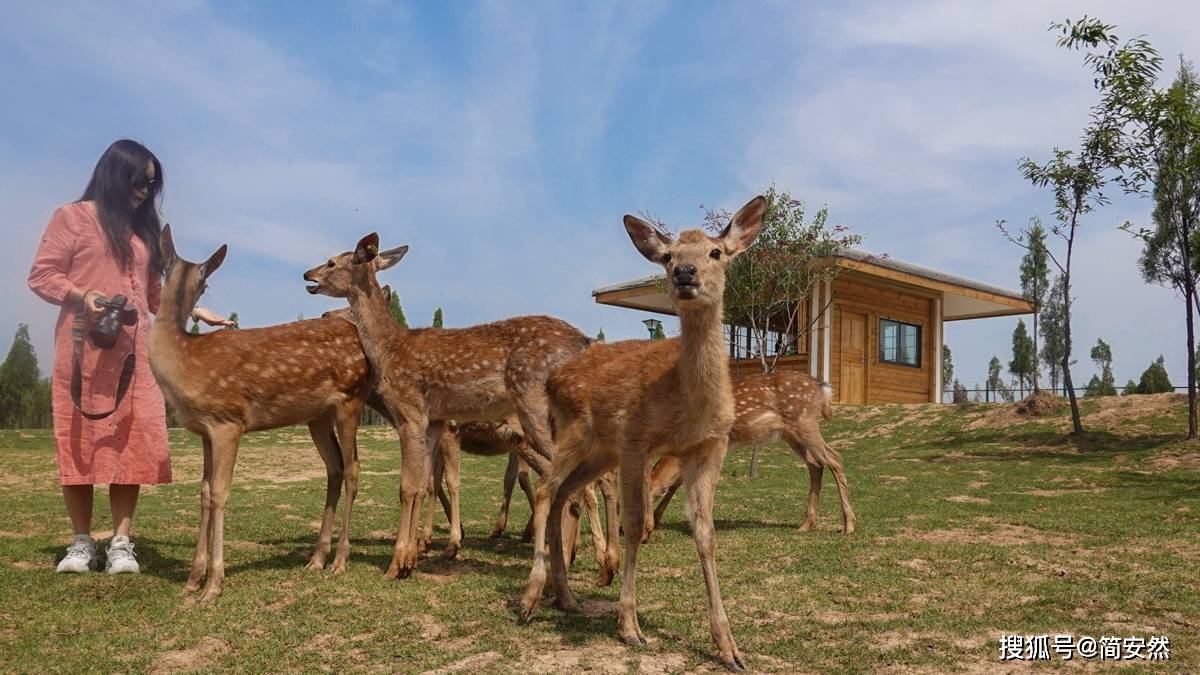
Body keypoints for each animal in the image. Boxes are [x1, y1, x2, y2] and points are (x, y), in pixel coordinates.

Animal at [147, 225, 403, 598]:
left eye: (205, 285)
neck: (184, 359)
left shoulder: (228, 421)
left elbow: (221, 493)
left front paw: (213, 584)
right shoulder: (204, 431)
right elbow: (205, 493)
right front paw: (192, 581)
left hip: (350, 399)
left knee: (354, 467)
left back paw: (340, 560)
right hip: (317, 416)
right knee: (335, 467)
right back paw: (316, 558)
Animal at [300, 234, 600, 576]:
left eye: (332, 262)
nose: (307, 274)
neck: (389, 350)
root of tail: (586, 342)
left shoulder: (411, 412)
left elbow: (408, 486)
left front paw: (397, 563)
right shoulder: (434, 422)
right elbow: (424, 484)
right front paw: (412, 557)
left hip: (535, 408)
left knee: (577, 486)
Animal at [518, 193, 763, 667]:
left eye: (715, 252)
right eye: (668, 256)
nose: (684, 273)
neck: (686, 401)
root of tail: (554, 378)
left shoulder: (709, 448)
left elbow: (705, 534)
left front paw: (730, 648)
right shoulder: (636, 439)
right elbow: (633, 525)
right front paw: (630, 627)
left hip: (599, 452)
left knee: (563, 495)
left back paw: (566, 597)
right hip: (573, 435)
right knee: (545, 489)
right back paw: (529, 599)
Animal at [648, 367, 854, 540]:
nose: (644, 529)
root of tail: (823, 389)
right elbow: (677, 482)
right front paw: (658, 519)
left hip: (804, 421)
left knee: (834, 458)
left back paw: (849, 526)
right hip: (790, 433)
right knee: (815, 464)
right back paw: (806, 525)